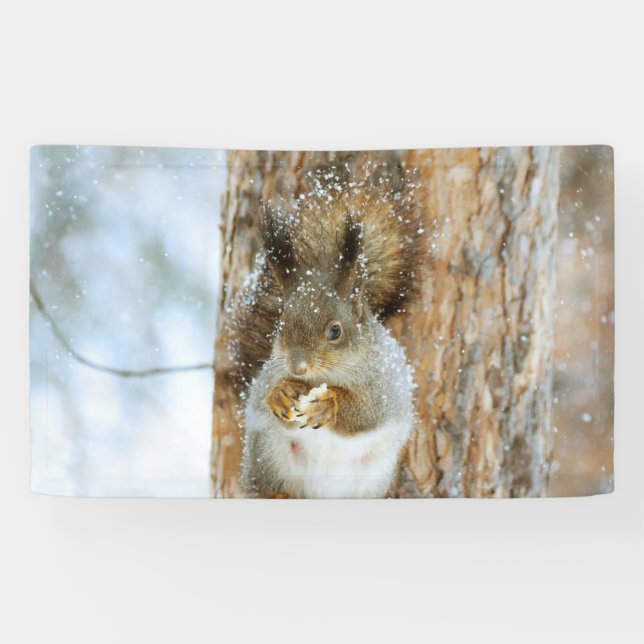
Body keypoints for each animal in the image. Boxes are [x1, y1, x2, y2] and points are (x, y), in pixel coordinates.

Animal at [230, 171, 428, 498]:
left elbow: (369, 411)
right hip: (266, 454)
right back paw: (280, 494)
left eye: (335, 331)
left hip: (369, 478)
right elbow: (261, 395)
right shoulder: (268, 374)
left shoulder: (386, 385)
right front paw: (280, 395)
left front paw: (328, 405)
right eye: (281, 324)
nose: (297, 367)